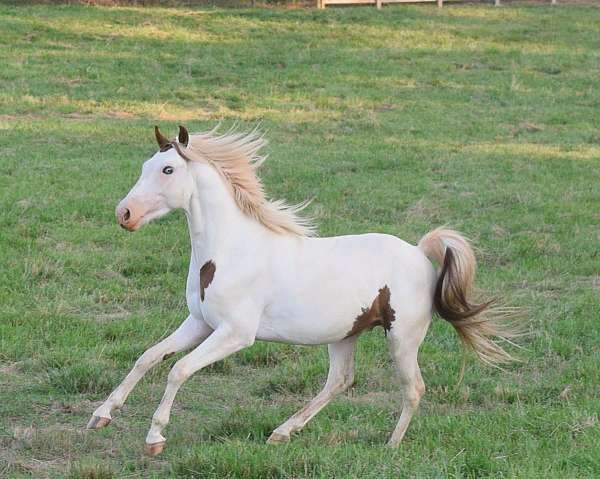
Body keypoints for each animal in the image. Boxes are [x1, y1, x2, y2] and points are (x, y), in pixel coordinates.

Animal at [86, 125, 516, 456]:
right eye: (145, 167)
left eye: (168, 169)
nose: (124, 213)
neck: (231, 250)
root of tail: (419, 251)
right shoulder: (200, 323)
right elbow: (148, 358)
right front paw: (100, 416)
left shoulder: (235, 334)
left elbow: (178, 369)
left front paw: (154, 437)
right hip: (344, 335)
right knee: (340, 381)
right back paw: (282, 432)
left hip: (402, 338)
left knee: (413, 388)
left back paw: (390, 446)